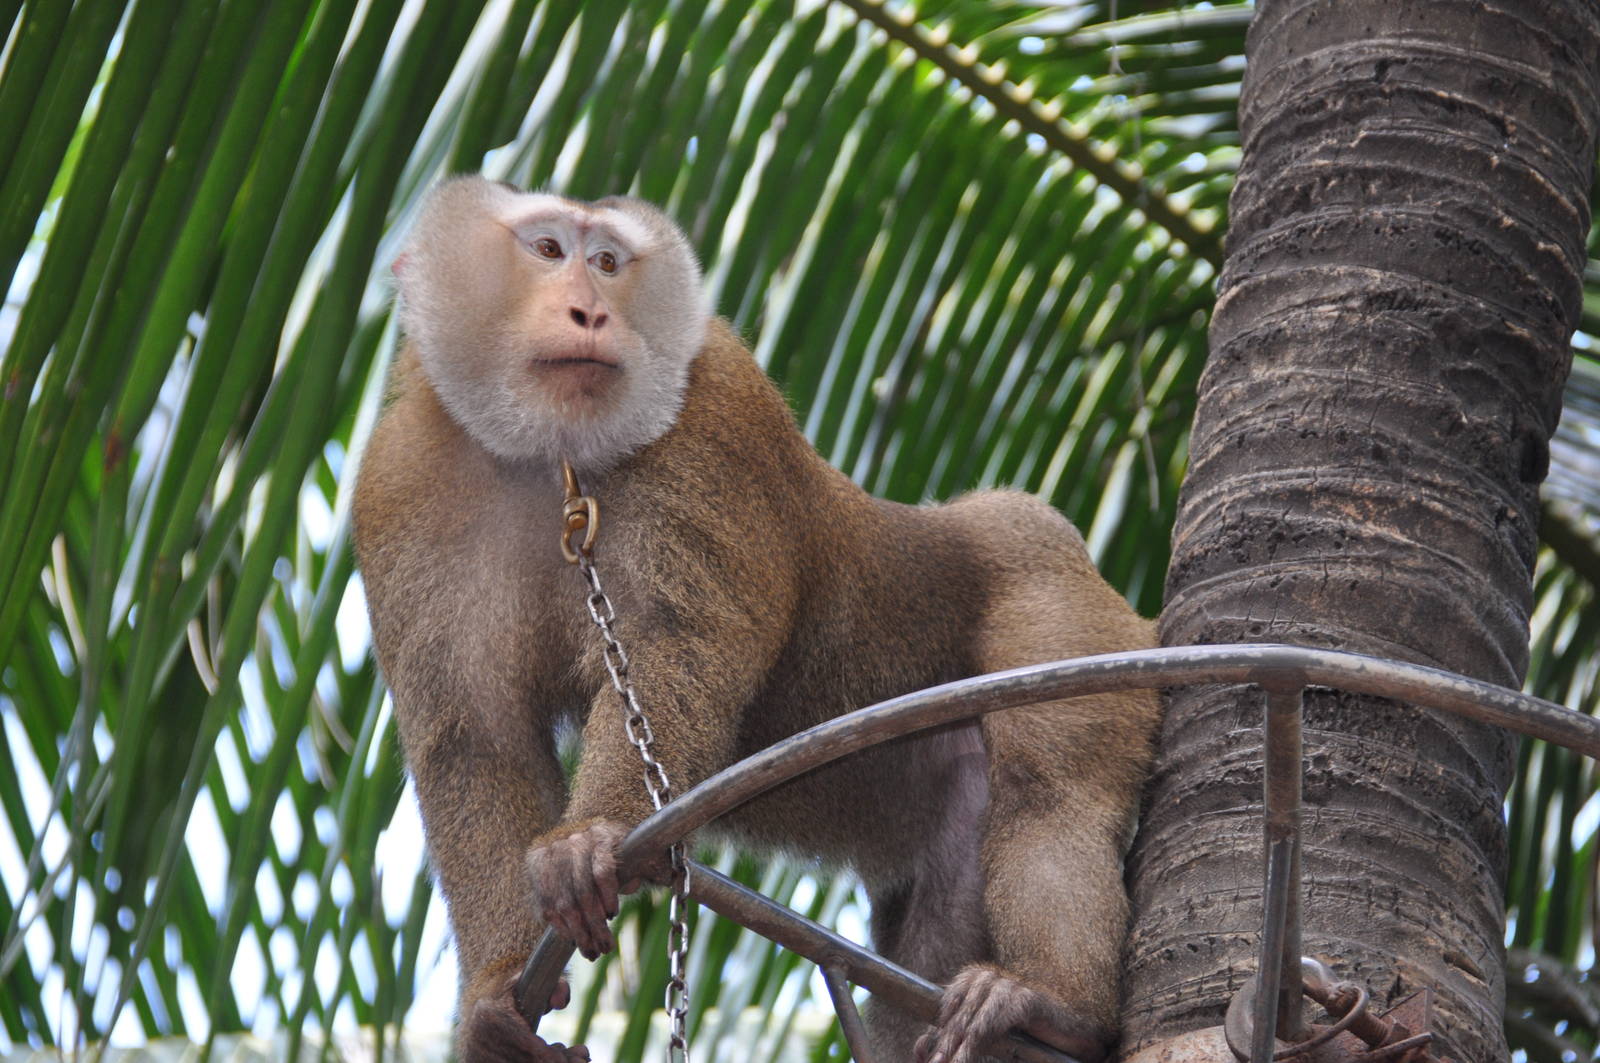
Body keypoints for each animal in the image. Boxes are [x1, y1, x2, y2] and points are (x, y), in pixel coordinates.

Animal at [353, 174, 1161, 1063]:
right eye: (547, 249)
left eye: (608, 262)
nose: (591, 310)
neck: (552, 458)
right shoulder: (398, 486)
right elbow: (475, 737)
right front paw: (499, 991)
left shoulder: (714, 413)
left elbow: (678, 646)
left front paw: (588, 837)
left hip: (1051, 596)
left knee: (1049, 783)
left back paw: (1059, 1004)